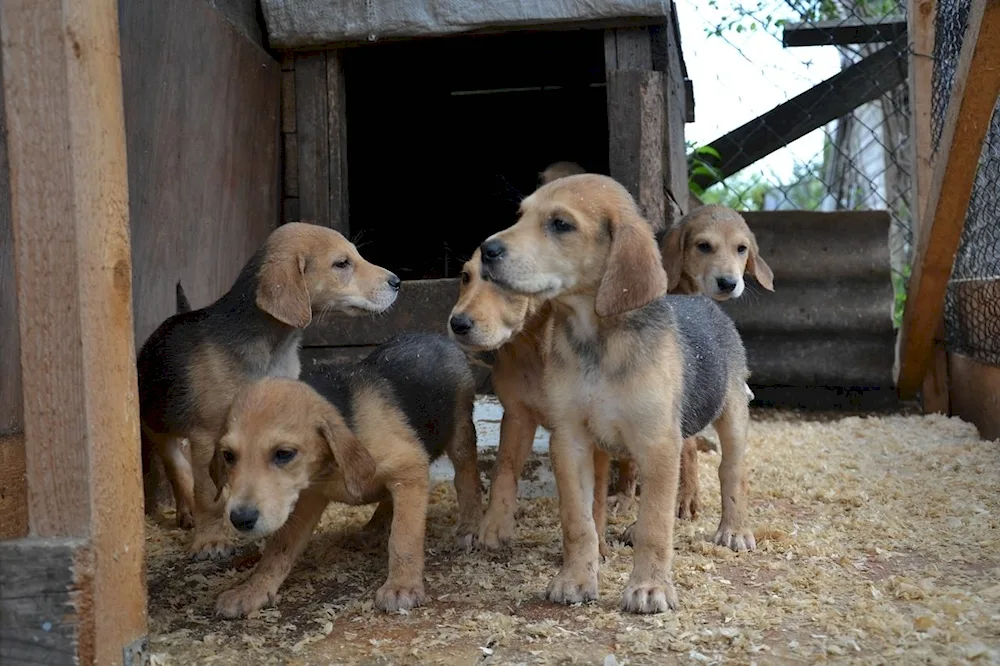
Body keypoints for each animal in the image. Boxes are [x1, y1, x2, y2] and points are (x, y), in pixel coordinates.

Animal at [209, 332, 482, 616]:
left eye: (284, 453)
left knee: (466, 480)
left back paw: (469, 526)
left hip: (460, 433)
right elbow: (278, 549)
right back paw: (373, 529)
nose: (240, 519)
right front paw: (252, 590)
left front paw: (402, 586)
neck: (331, 467)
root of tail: (433, 335)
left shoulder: (410, 467)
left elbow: (404, 536)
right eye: (228, 455)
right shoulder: (307, 498)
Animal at [476, 174, 752, 608]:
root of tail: (705, 303)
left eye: (560, 224)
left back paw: (734, 529)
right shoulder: (570, 441)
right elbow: (579, 520)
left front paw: (650, 587)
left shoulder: (657, 442)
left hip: (732, 416)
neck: (596, 340)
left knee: (731, 473)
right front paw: (576, 578)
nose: (486, 251)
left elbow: (656, 525)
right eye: (520, 216)